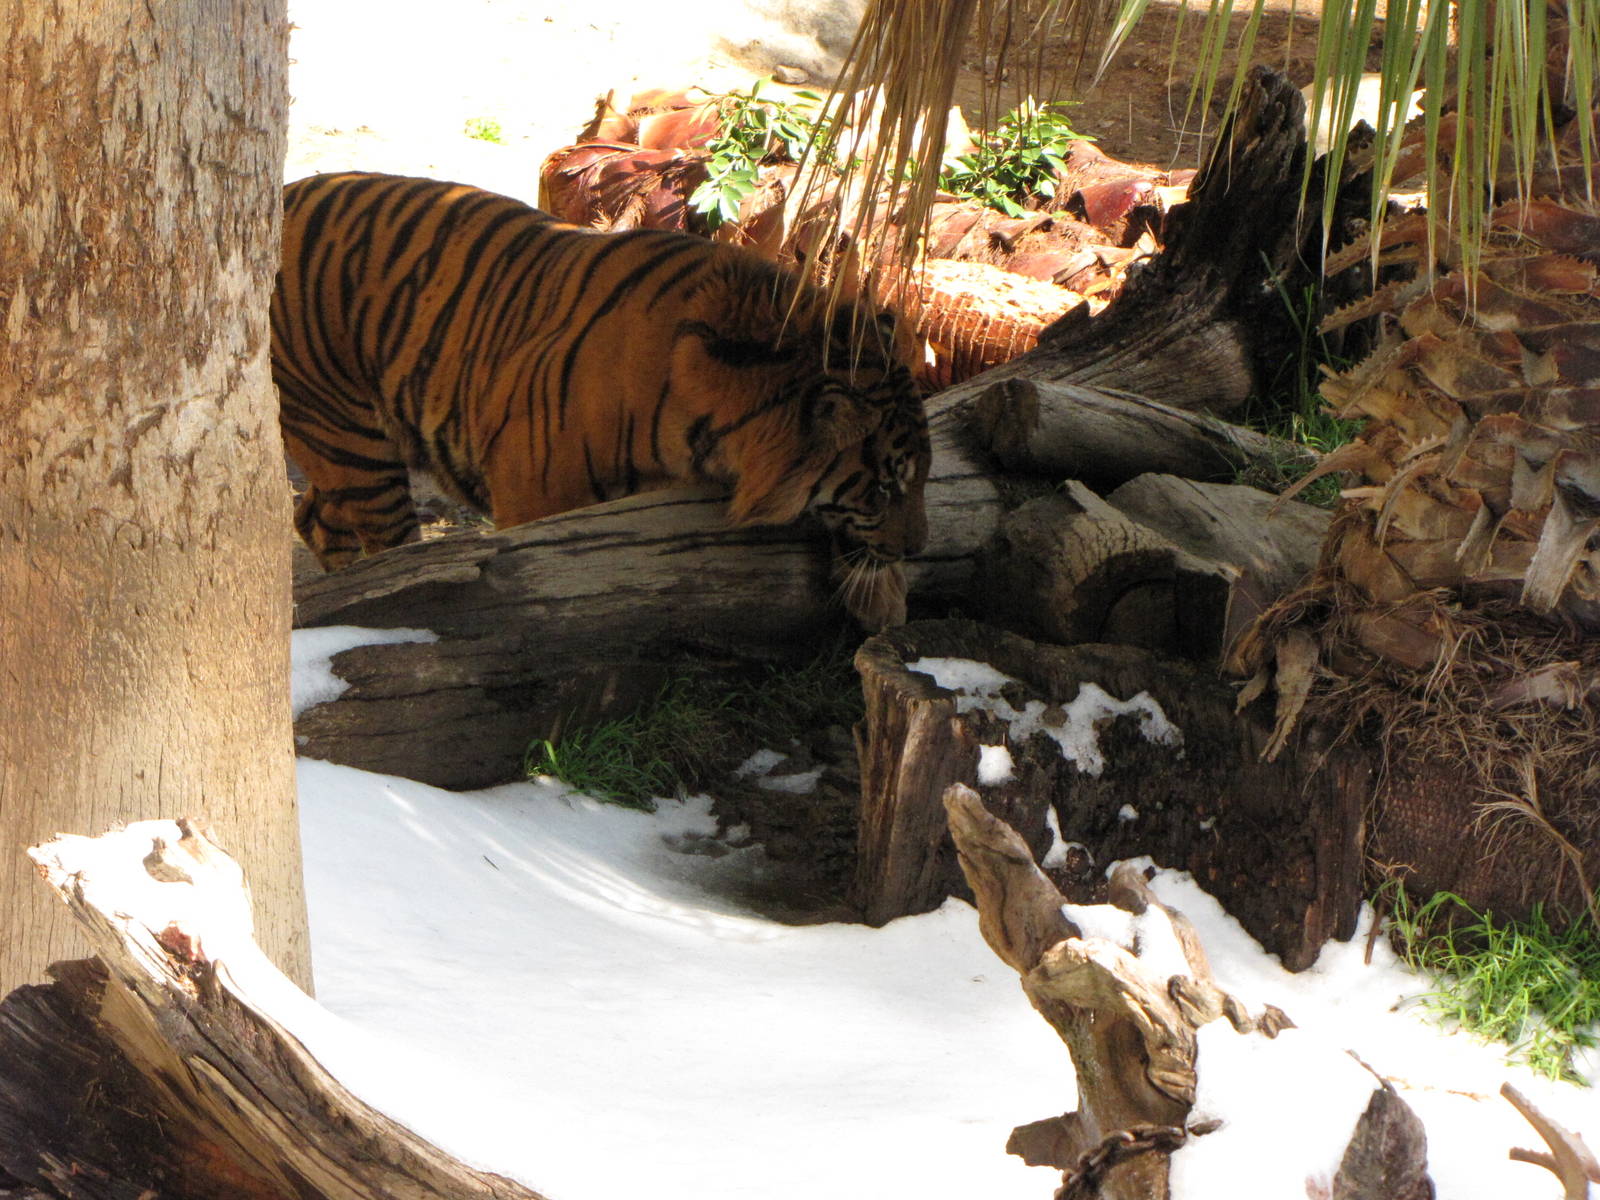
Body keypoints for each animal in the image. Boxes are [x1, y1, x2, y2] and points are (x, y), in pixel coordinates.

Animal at [271, 171, 930, 631]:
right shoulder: (532, 497)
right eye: (884, 488)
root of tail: (285, 190)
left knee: (313, 519)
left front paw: (884, 602)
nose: (920, 548)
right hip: (349, 438)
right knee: (387, 555)